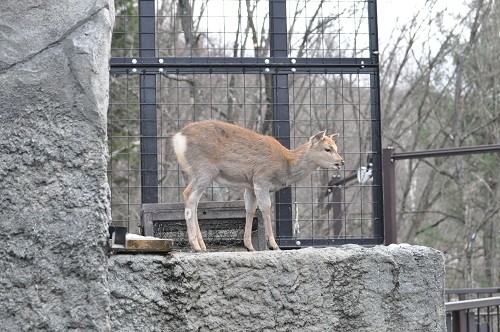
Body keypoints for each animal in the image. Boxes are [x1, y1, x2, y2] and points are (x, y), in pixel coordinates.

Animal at [173, 119, 344, 252]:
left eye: (336, 147)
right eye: (327, 149)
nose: (341, 161)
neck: (286, 165)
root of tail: (179, 138)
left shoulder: (249, 184)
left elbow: (250, 209)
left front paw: (249, 245)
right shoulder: (262, 177)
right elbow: (266, 207)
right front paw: (274, 245)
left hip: (196, 172)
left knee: (192, 199)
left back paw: (202, 245)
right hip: (205, 169)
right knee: (189, 195)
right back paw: (195, 246)